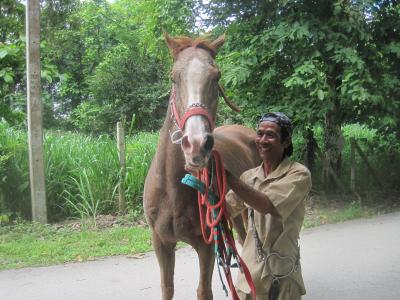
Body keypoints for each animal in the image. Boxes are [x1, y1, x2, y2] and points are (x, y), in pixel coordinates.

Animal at [142, 33, 260, 300]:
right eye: (173, 77)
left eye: (216, 77)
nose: (196, 144)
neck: (172, 191)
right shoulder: (161, 242)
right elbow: (167, 288)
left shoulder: (206, 245)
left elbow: (204, 291)